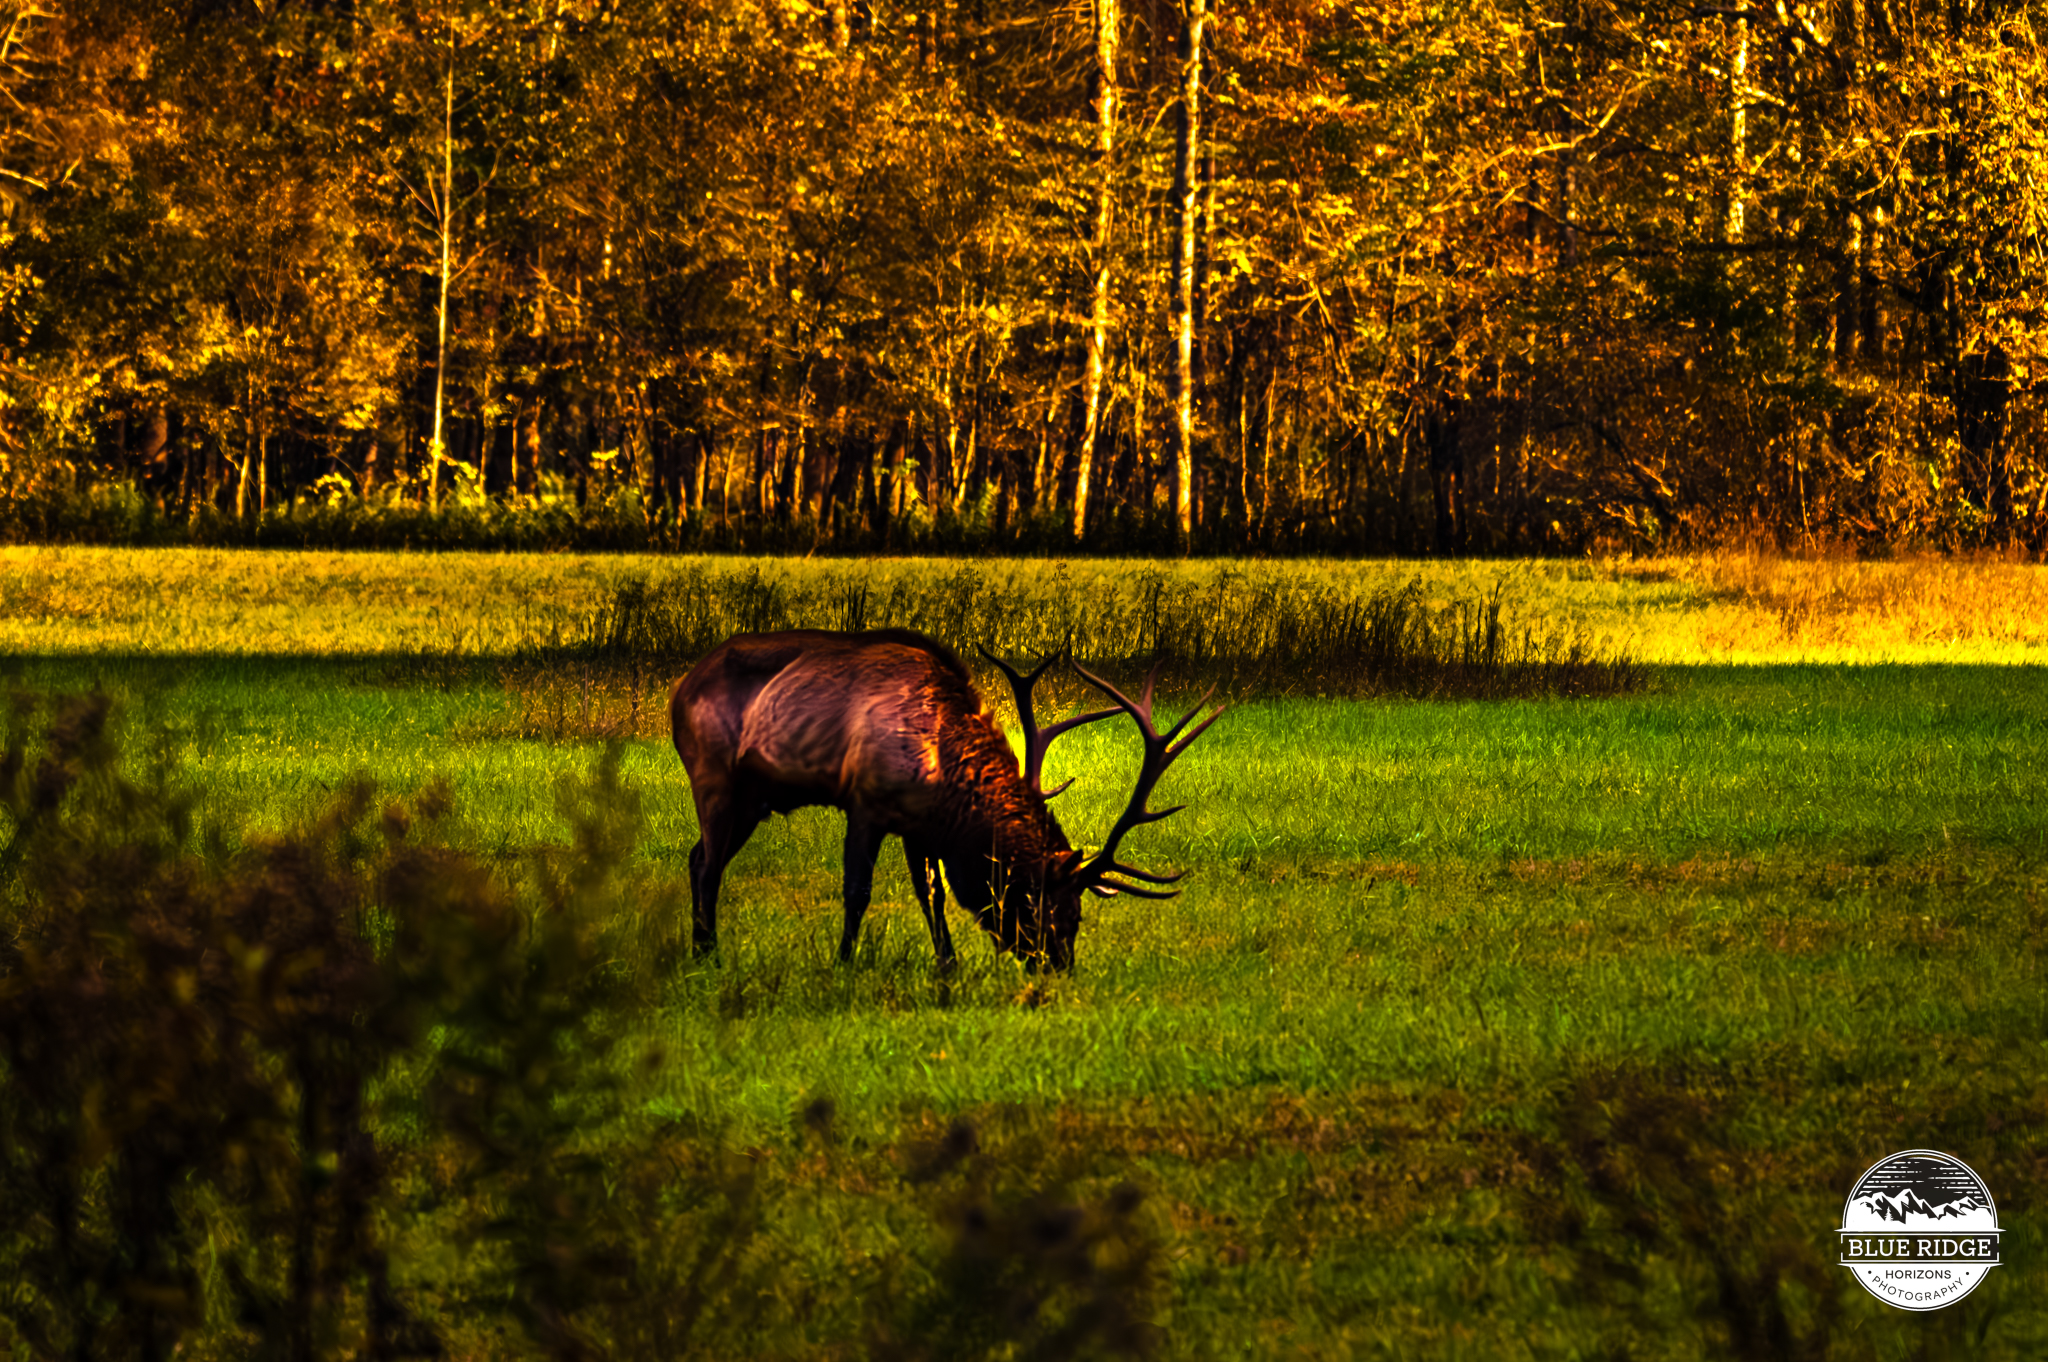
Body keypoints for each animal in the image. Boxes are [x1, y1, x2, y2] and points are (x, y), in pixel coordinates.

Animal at [667, 628, 1222, 971]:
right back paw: (708, 955)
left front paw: (947, 966)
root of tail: (679, 688)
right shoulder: (865, 805)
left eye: (1078, 916)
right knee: (708, 865)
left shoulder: (919, 825)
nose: (1058, 968)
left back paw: (699, 948)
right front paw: (843, 962)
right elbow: (857, 891)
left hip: (751, 799)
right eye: (1049, 908)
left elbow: (931, 893)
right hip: (713, 776)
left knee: (696, 857)